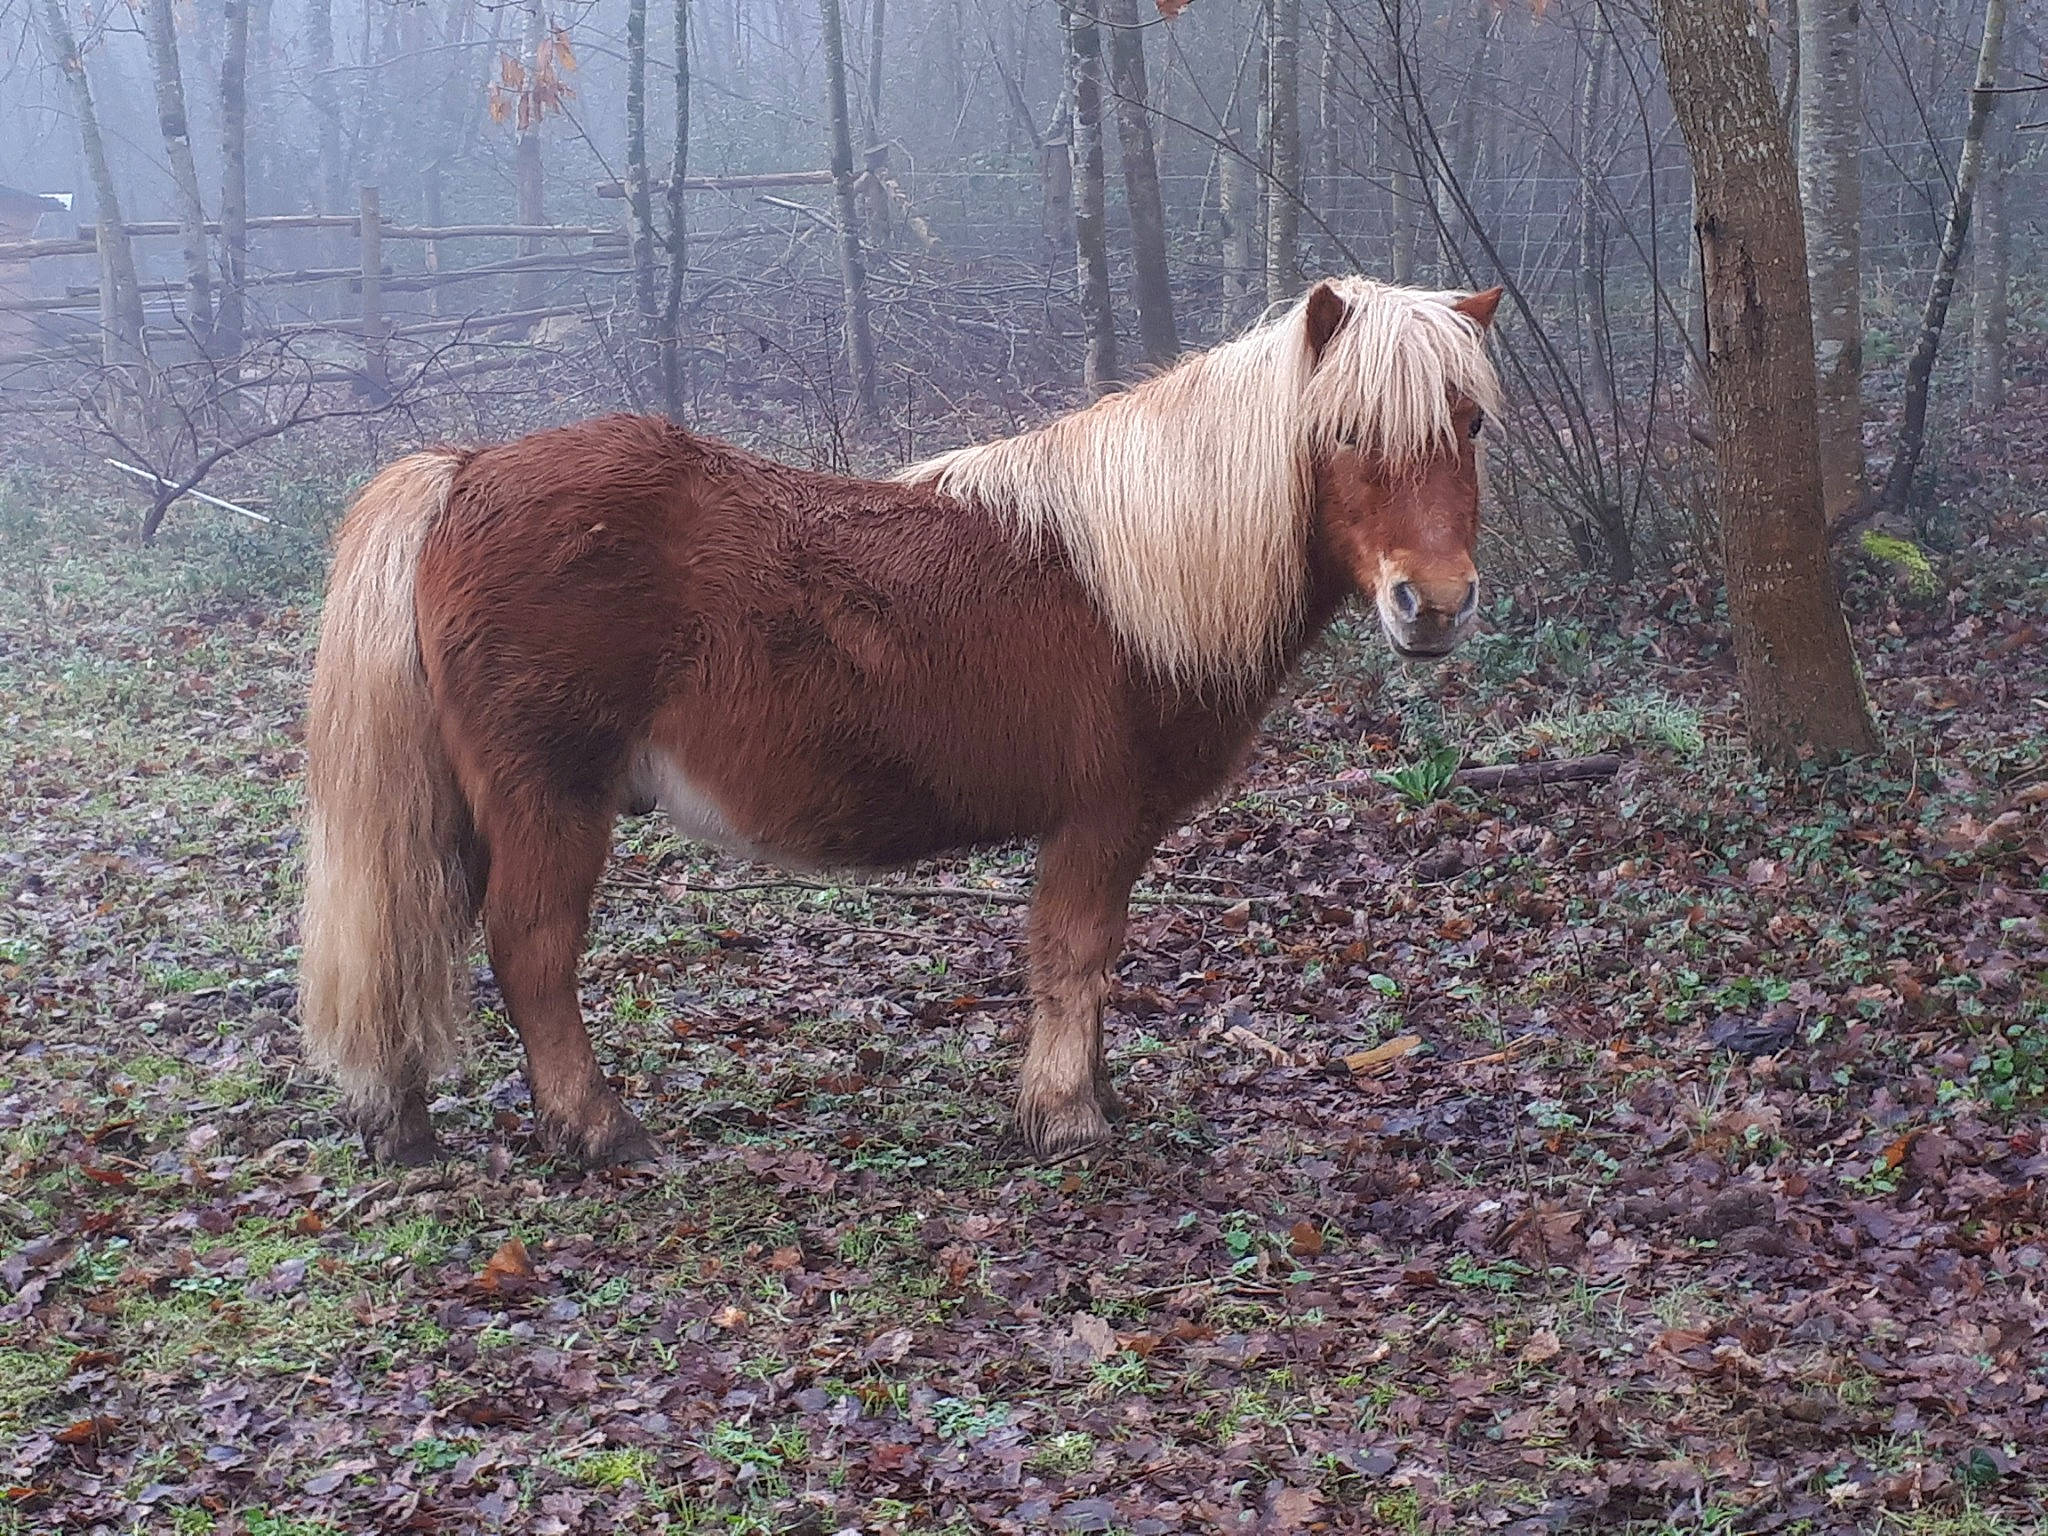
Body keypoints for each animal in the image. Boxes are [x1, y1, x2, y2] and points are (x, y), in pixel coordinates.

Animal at [299, 276, 1503, 1168]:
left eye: (1470, 423)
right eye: (1344, 430)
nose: (1435, 605)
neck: (1136, 575)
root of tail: (461, 473)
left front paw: (1091, 1093)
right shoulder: (1101, 820)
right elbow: (1076, 952)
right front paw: (1066, 1114)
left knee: (419, 931)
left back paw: (403, 1121)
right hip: (548, 801)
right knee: (531, 949)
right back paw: (600, 1129)